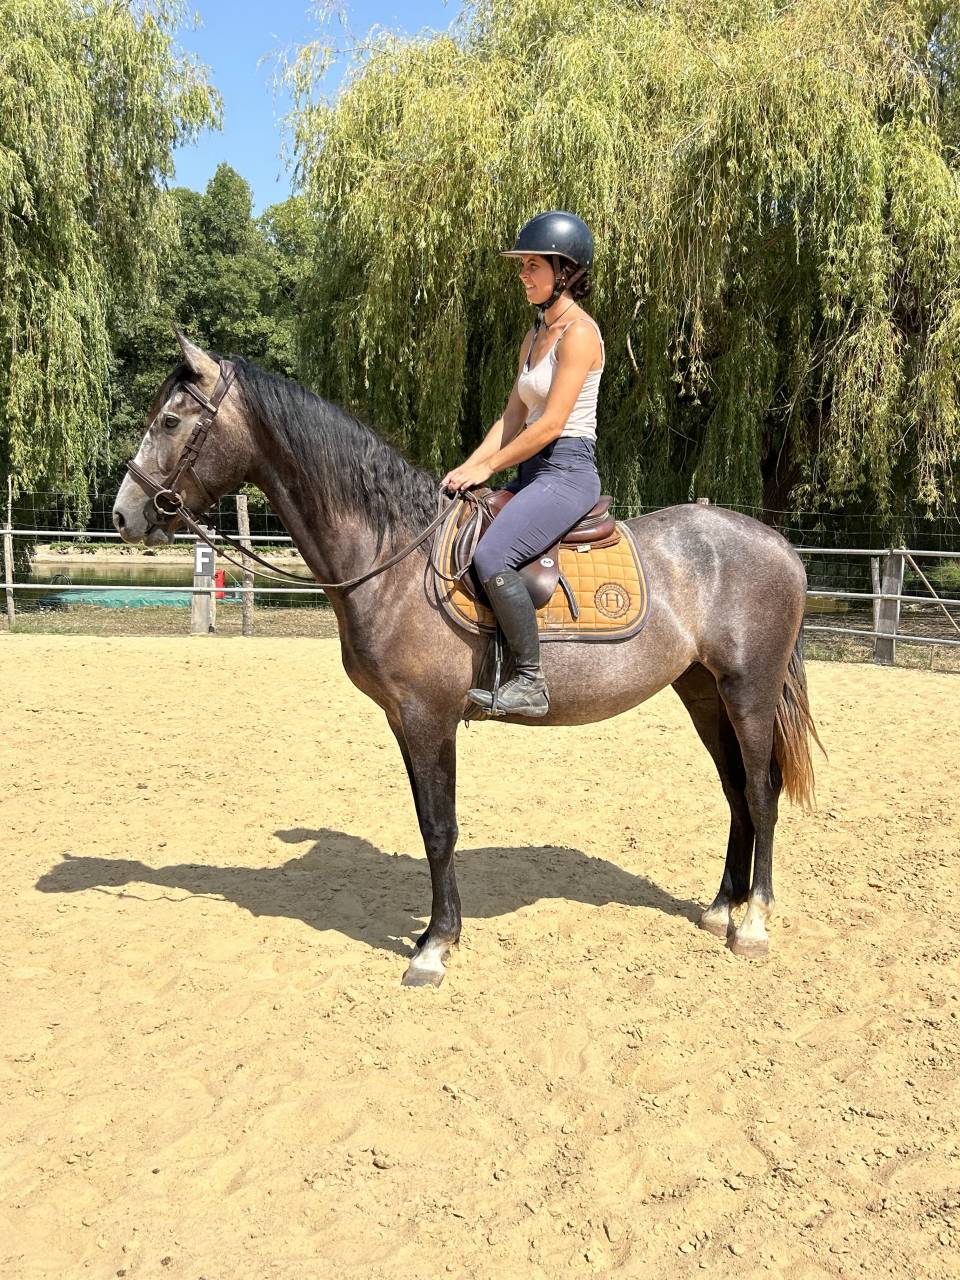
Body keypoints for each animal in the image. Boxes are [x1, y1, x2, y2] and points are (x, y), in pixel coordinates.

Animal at [112, 333, 822, 987]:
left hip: (748, 690)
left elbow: (439, 828)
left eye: (170, 421)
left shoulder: (430, 718)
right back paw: (721, 907)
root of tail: (778, 544)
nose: (124, 514)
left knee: (761, 793)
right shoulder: (403, 719)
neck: (393, 553)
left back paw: (752, 923)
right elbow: (430, 823)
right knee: (735, 791)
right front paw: (437, 934)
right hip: (703, 692)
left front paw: (434, 946)